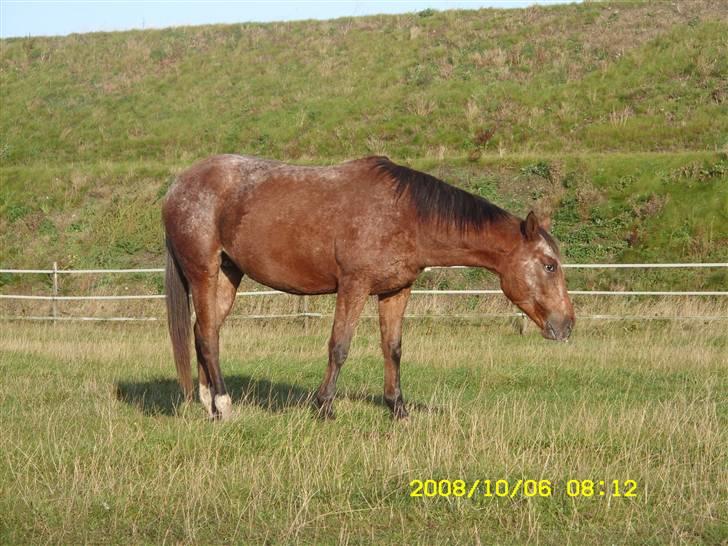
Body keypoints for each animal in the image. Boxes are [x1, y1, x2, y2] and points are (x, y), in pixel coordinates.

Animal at [164, 155, 576, 418]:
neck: (406, 214)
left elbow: (392, 349)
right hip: (203, 272)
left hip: (228, 275)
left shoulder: (396, 291)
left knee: (205, 331)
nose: (567, 324)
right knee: (207, 337)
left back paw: (208, 403)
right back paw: (223, 405)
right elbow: (339, 347)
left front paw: (398, 409)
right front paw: (325, 407)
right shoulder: (354, 286)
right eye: (549, 265)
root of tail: (177, 186)